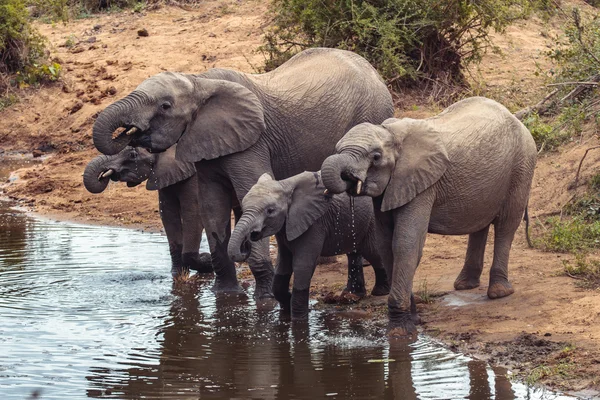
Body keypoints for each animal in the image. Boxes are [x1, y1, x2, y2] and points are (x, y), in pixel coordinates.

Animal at [81, 145, 213, 276]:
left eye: (133, 155)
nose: (102, 176)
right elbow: (168, 215)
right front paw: (177, 274)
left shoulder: (194, 178)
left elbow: (193, 214)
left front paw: (207, 260)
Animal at [227, 171, 392, 318]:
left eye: (270, 211)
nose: (250, 236)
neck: (285, 185)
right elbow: (282, 265)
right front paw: (287, 304)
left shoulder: (314, 224)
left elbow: (303, 264)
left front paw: (299, 318)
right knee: (354, 252)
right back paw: (353, 295)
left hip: (371, 221)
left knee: (373, 251)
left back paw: (381, 292)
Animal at [322, 96, 536, 338]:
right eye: (337, 149)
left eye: (375, 157)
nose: (347, 177)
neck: (391, 134)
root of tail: (516, 119)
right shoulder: (391, 188)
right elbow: (386, 246)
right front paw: (413, 319)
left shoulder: (421, 184)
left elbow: (405, 243)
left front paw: (400, 332)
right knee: (480, 223)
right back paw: (465, 285)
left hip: (522, 165)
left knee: (506, 225)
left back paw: (499, 292)